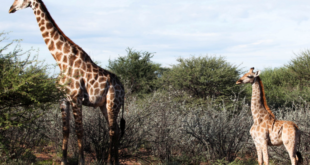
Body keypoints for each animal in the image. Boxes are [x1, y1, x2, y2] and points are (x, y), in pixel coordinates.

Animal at [9, 0, 126, 164]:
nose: (10, 8)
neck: (61, 60)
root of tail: (123, 88)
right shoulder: (63, 99)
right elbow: (66, 130)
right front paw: (63, 160)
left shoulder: (76, 98)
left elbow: (79, 130)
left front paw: (81, 161)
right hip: (104, 105)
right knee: (115, 130)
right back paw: (115, 161)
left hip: (113, 103)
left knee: (112, 130)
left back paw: (110, 161)